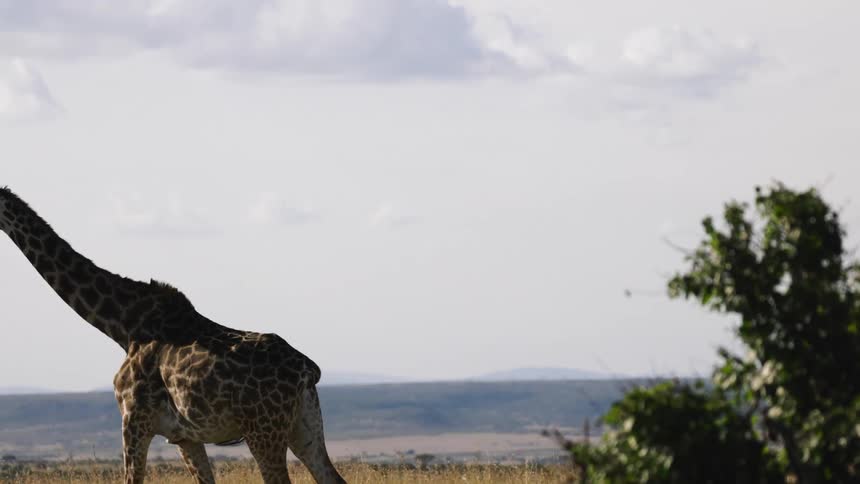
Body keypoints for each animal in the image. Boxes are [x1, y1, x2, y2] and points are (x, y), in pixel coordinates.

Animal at [0, 187, 346, 484]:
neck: (122, 325)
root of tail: (308, 369)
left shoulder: (133, 420)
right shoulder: (184, 437)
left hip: (263, 430)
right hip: (303, 425)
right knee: (331, 476)